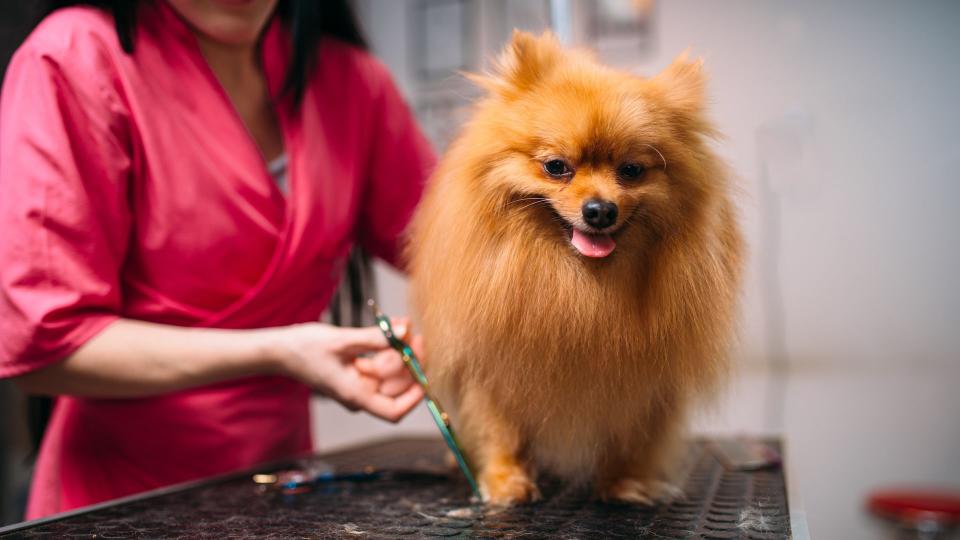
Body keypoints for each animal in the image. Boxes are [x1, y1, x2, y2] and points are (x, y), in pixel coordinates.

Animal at [404, 32, 744, 506]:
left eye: (632, 170)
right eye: (556, 167)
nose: (600, 210)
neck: (578, 285)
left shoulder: (647, 383)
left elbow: (632, 437)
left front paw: (625, 483)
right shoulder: (490, 368)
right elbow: (499, 430)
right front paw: (505, 481)